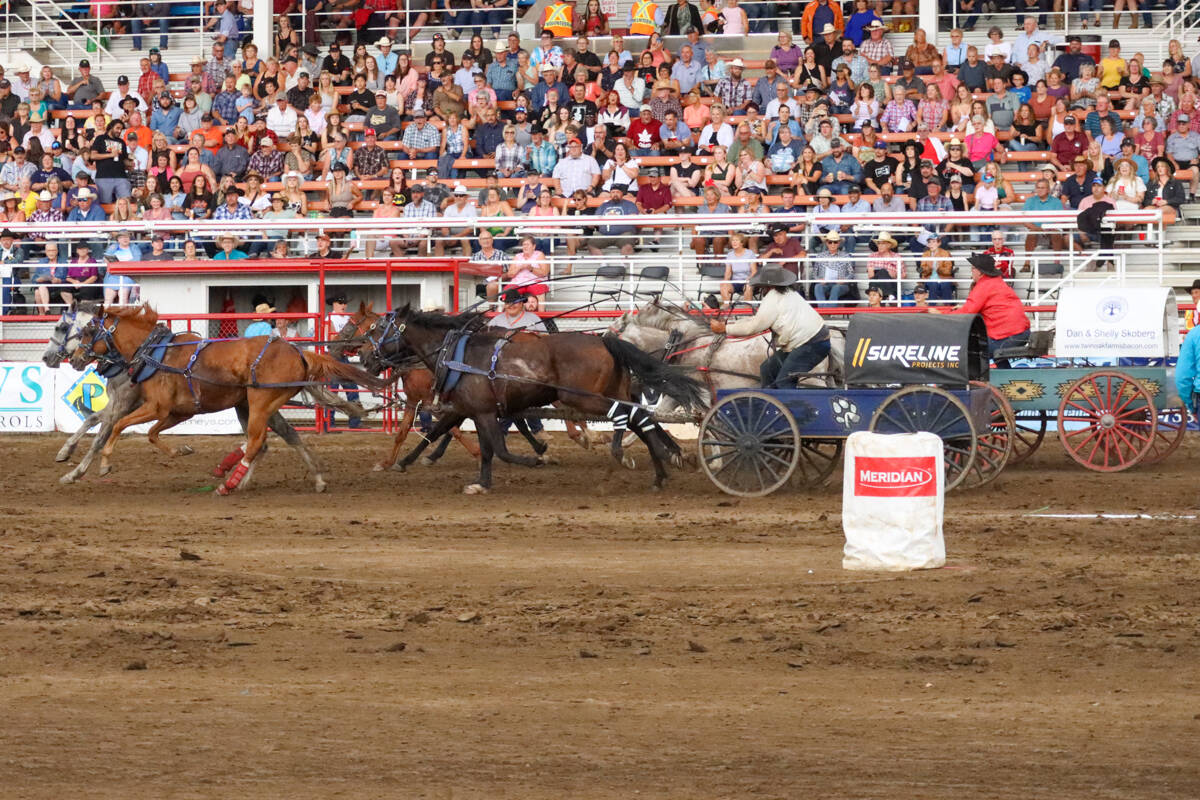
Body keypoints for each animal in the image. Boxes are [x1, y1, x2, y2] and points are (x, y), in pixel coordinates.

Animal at [71, 304, 388, 494]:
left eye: (88, 330)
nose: (74, 358)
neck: (156, 353)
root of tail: (297, 351)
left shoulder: (157, 407)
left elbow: (119, 425)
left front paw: (104, 464)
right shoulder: (176, 412)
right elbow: (151, 434)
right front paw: (182, 450)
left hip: (261, 402)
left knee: (257, 441)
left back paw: (230, 483)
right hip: (250, 404)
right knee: (272, 439)